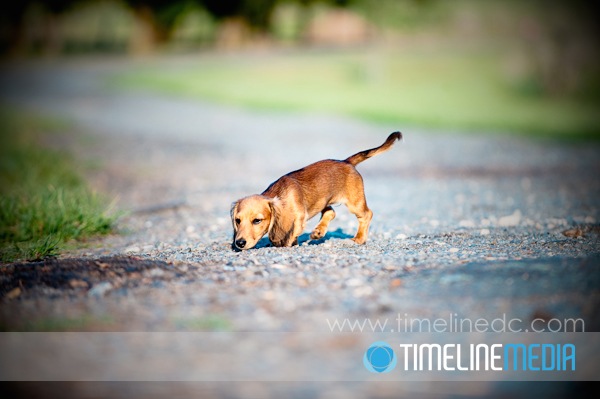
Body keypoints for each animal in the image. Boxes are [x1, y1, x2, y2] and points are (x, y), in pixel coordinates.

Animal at [232, 133, 400, 252]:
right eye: (237, 220)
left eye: (257, 221)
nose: (239, 243)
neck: (281, 194)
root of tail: (346, 162)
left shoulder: (299, 219)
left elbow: (291, 234)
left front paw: (284, 244)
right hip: (323, 200)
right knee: (331, 212)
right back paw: (318, 232)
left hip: (355, 203)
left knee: (367, 214)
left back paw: (359, 238)